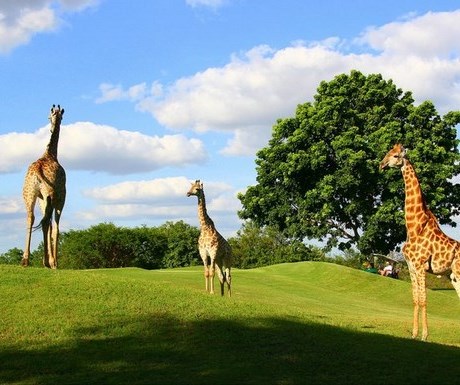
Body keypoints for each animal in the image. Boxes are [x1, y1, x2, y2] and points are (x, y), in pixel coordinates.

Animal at [21, 103, 66, 268]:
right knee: (49, 222)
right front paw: (53, 262)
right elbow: (55, 228)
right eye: (49, 116)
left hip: (29, 193)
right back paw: (51, 262)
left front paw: (46, 260)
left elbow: (46, 224)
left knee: (31, 217)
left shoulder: (42, 198)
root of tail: (37, 169)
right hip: (52, 196)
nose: (51, 126)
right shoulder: (60, 196)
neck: (50, 154)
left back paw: (25, 259)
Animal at [380, 143, 460, 340]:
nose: (381, 165)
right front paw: (415, 334)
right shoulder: (411, 266)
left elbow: (424, 300)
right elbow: (415, 299)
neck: (414, 226)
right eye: (387, 153)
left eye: (395, 156)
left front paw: (424, 335)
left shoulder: (421, 265)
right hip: (453, 275)